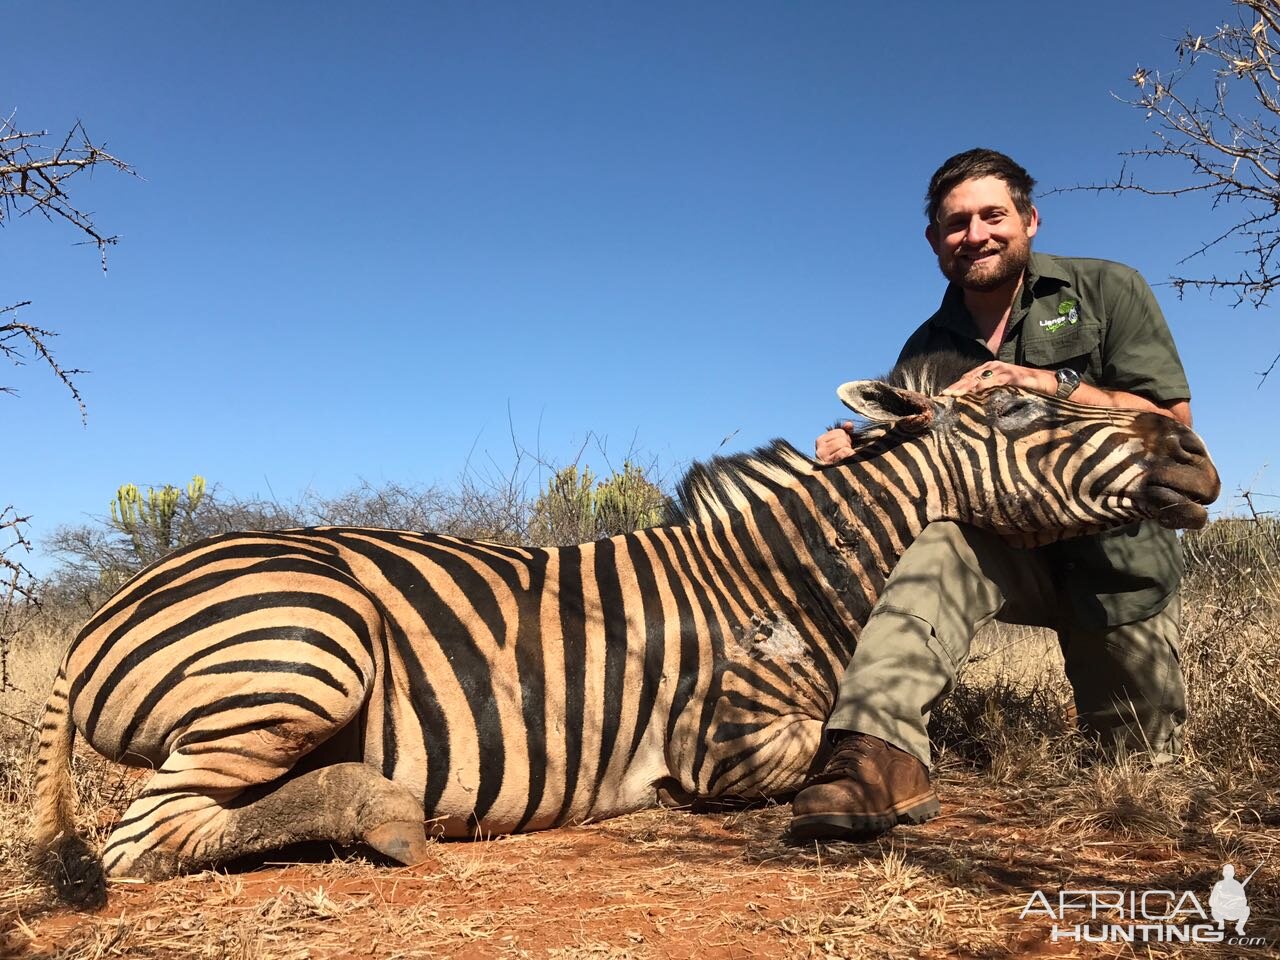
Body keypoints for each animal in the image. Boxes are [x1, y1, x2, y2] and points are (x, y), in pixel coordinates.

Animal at [32, 350, 1218, 901]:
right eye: (1023, 407)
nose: (1195, 455)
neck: (783, 580)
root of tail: (101, 615)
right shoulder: (723, 743)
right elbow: (826, 753)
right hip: (309, 652)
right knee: (146, 838)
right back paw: (382, 812)